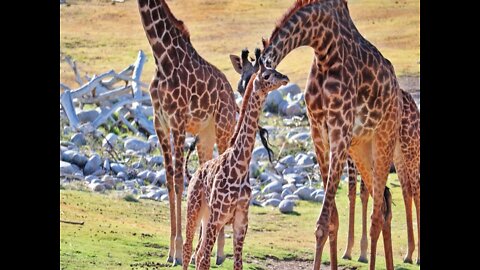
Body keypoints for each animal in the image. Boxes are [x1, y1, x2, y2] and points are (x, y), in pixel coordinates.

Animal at [184, 55, 288, 270]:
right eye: (267, 75)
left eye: (276, 70)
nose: (285, 78)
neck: (240, 166)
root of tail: (195, 173)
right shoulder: (218, 218)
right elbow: (205, 260)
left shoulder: (241, 221)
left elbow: (237, 263)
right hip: (194, 210)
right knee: (189, 249)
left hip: (206, 216)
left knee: (198, 253)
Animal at [258, 0, 402, 270]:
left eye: (265, 75)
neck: (324, 47)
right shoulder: (319, 134)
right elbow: (333, 219)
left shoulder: (339, 133)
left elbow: (322, 224)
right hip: (361, 148)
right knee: (385, 202)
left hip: (384, 139)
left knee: (377, 214)